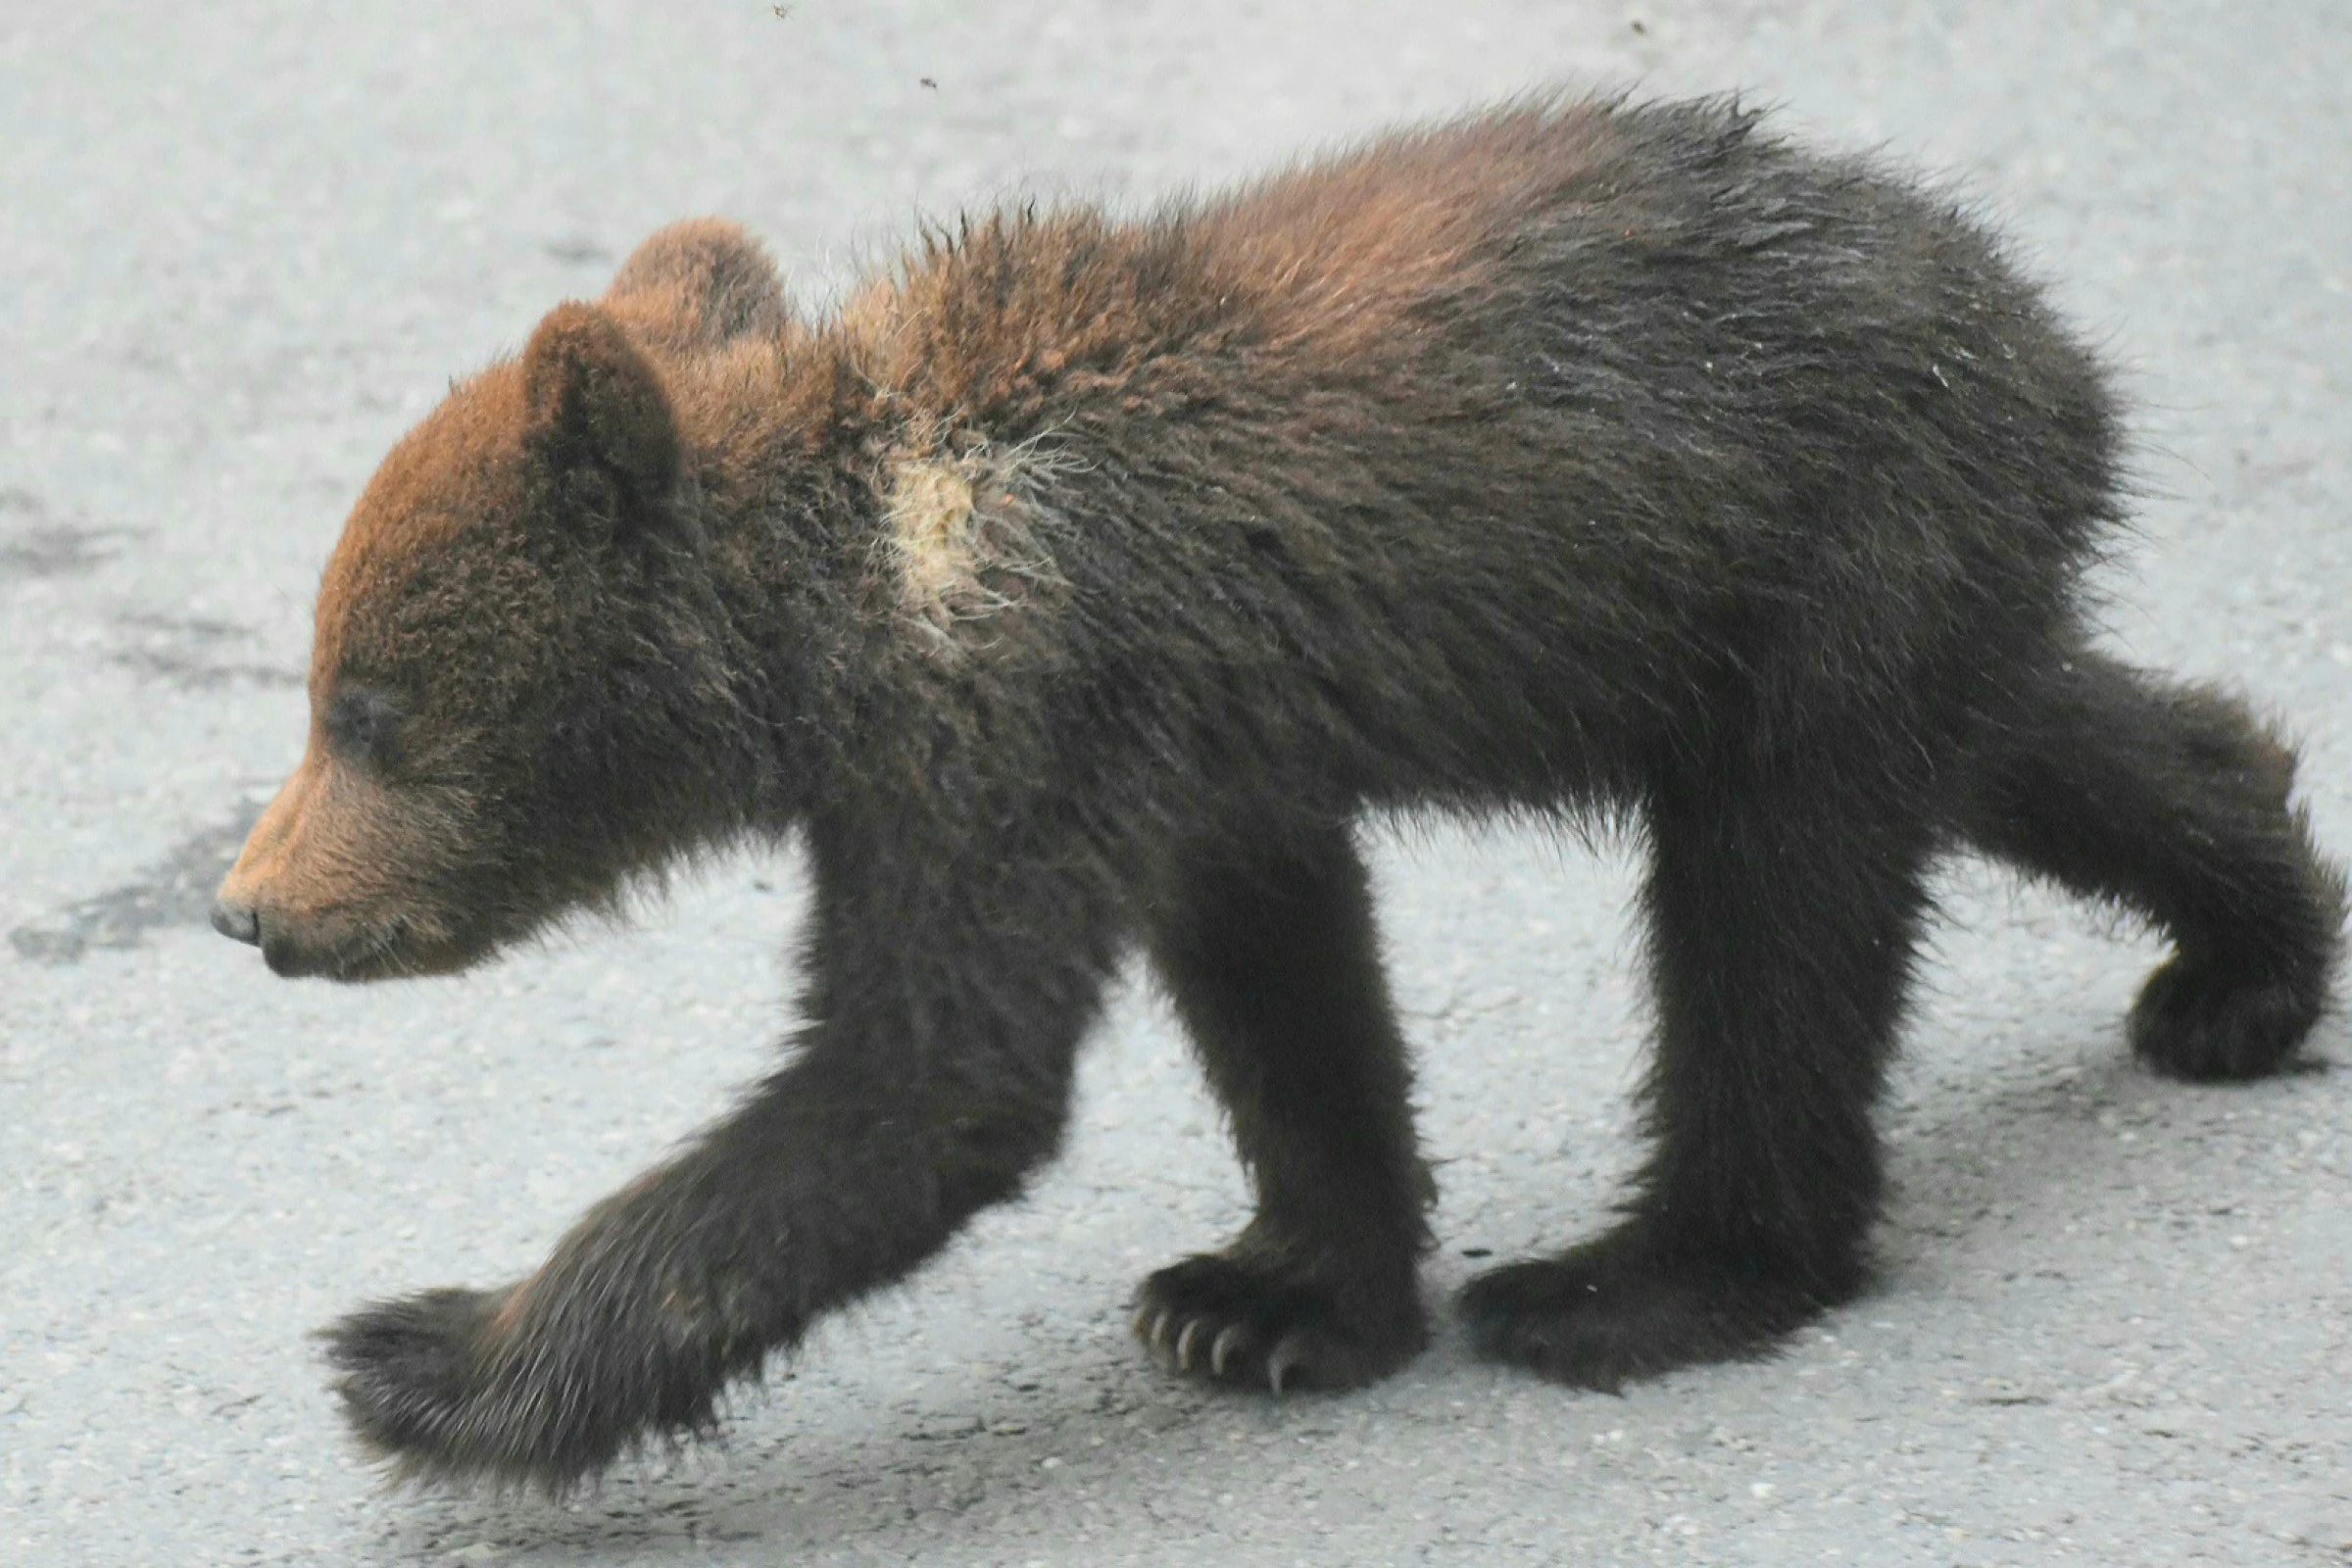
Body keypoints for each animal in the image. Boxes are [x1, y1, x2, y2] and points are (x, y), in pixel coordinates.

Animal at [211, 93, 2344, 1491]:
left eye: (366, 707)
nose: (249, 906)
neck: (855, 606)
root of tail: (2051, 343)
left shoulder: (1018, 724)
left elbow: (917, 1085)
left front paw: (426, 1356)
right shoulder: (1193, 749)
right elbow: (1285, 986)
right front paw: (1270, 1293)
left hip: (1816, 567)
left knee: (1773, 920)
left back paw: (1650, 1275)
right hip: (1839, 601)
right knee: (2020, 737)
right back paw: (2243, 954)